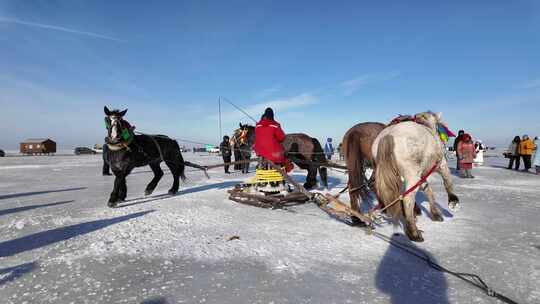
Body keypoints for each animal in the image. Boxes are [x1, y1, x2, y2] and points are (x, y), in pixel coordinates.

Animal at [374, 111, 458, 242]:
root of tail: (388, 135)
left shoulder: (422, 175)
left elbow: (428, 191)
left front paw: (435, 213)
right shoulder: (441, 165)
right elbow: (447, 181)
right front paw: (453, 201)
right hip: (412, 174)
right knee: (407, 198)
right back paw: (413, 232)